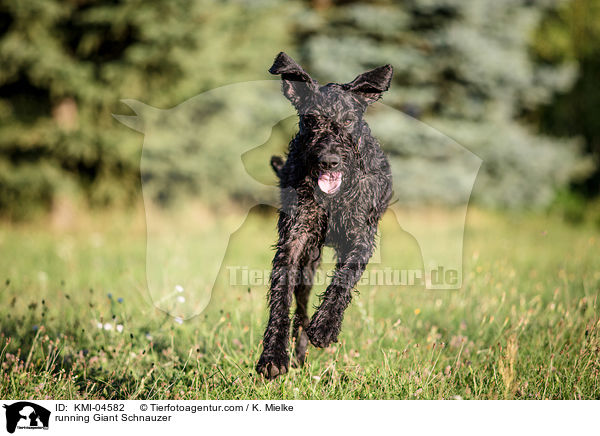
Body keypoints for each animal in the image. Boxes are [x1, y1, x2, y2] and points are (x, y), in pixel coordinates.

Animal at [256, 51, 394, 378]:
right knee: (301, 308)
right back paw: (298, 352)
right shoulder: (294, 240)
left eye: (348, 120)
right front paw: (273, 354)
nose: (329, 161)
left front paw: (326, 327)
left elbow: (345, 277)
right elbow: (281, 295)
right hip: (309, 262)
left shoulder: (360, 237)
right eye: (311, 119)